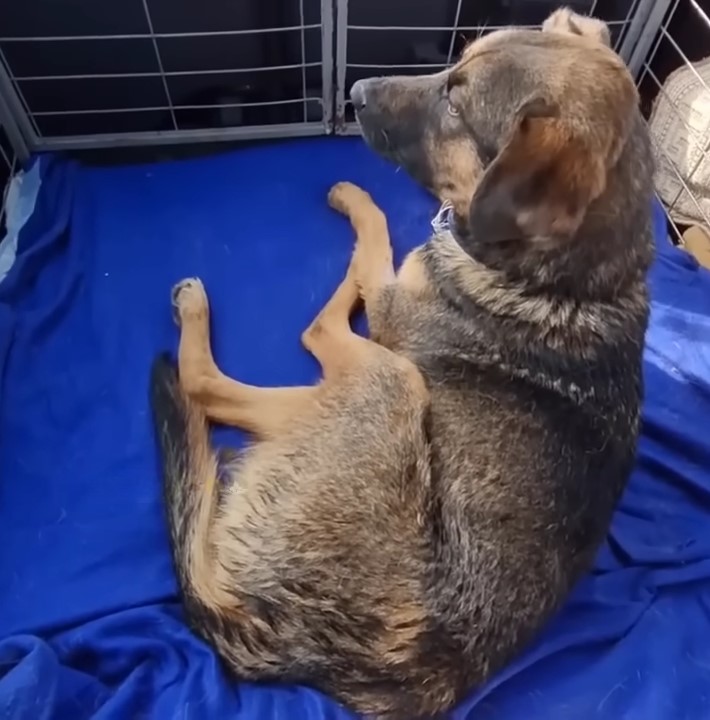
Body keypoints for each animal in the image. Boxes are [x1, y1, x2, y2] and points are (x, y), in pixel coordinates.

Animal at [150, 11, 656, 720]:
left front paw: (355, 202)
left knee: (256, 358)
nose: (356, 92)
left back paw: (201, 308)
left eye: (456, 105)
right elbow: (383, 243)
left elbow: (378, 243)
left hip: (391, 384)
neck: (576, 279)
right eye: (453, 65)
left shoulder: (392, 308)